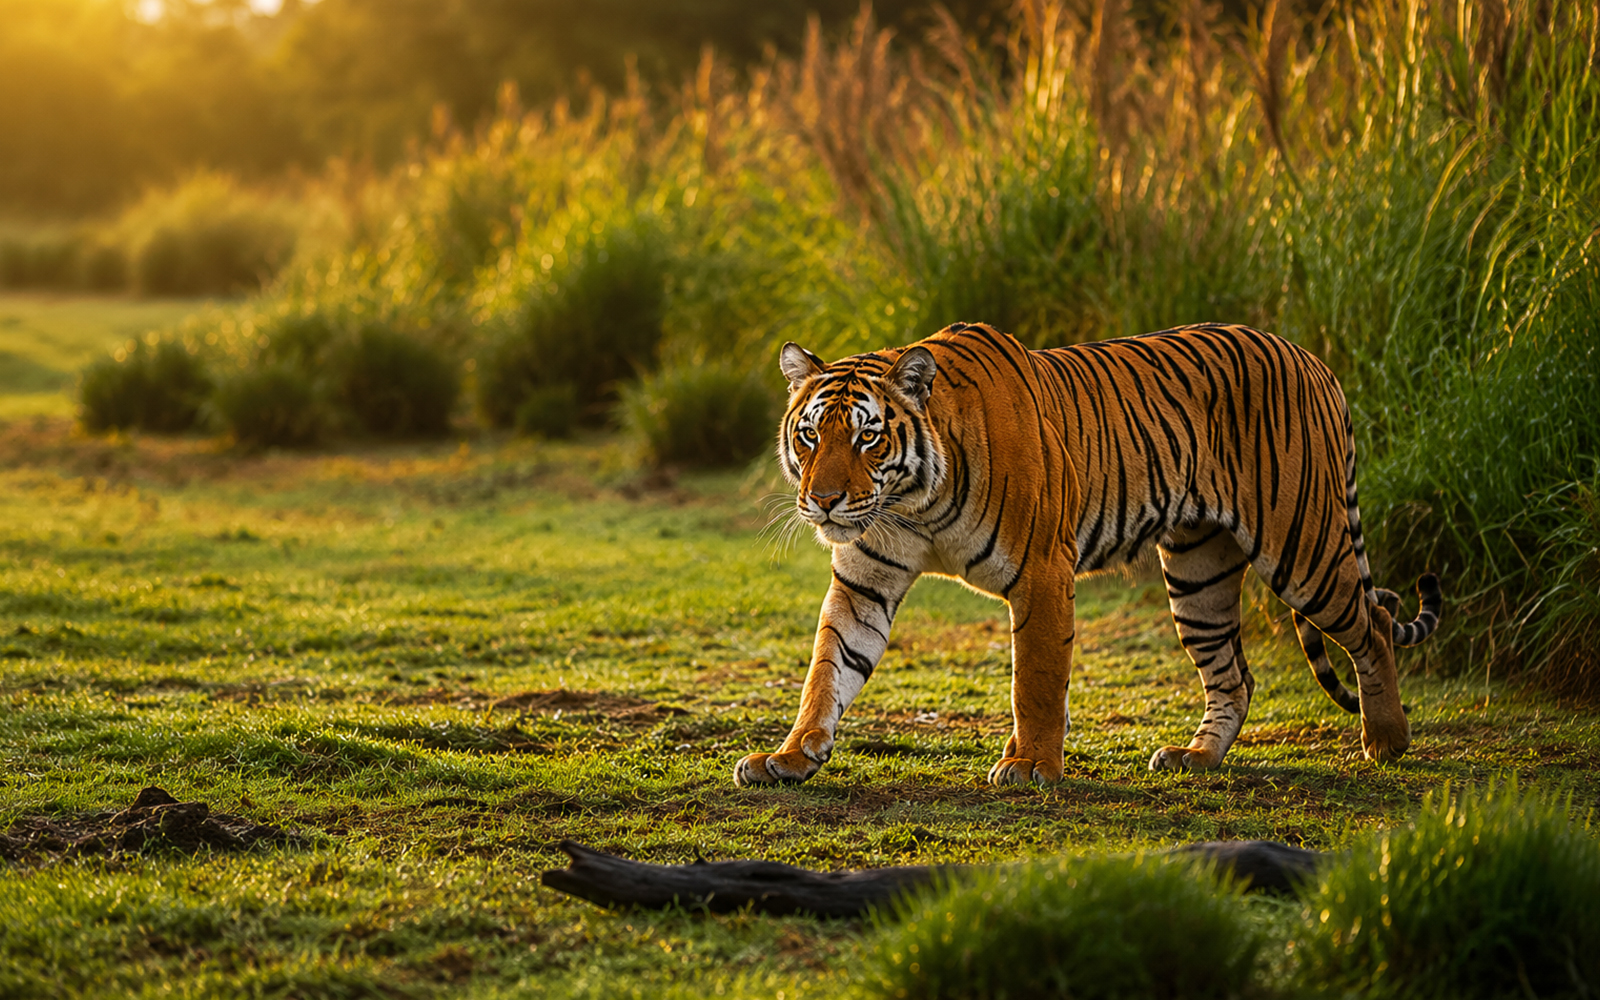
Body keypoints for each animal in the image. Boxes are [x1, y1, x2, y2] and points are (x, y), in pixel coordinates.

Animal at [733, 322, 1442, 787]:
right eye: (810, 435)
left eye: (868, 438)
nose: (823, 501)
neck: (912, 505)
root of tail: (1312, 358)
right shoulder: (866, 581)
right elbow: (827, 670)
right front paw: (789, 757)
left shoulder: (1043, 569)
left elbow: (1037, 679)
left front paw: (1029, 766)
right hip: (1198, 572)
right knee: (1234, 675)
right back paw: (1197, 758)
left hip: (1303, 544)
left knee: (1374, 622)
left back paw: (1385, 741)